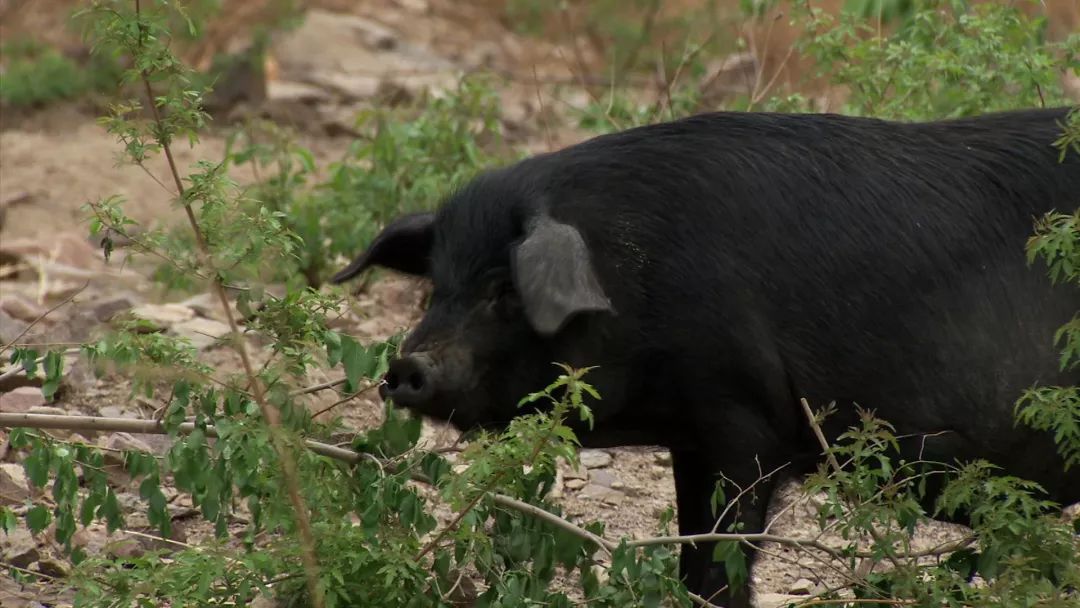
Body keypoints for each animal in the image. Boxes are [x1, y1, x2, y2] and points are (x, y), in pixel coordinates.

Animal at [334, 110, 1080, 608]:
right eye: (438, 285)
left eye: (504, 291)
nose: (405, 368)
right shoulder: (690, 437)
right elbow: (690, 549)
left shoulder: (745, 421)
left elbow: (726, 559)